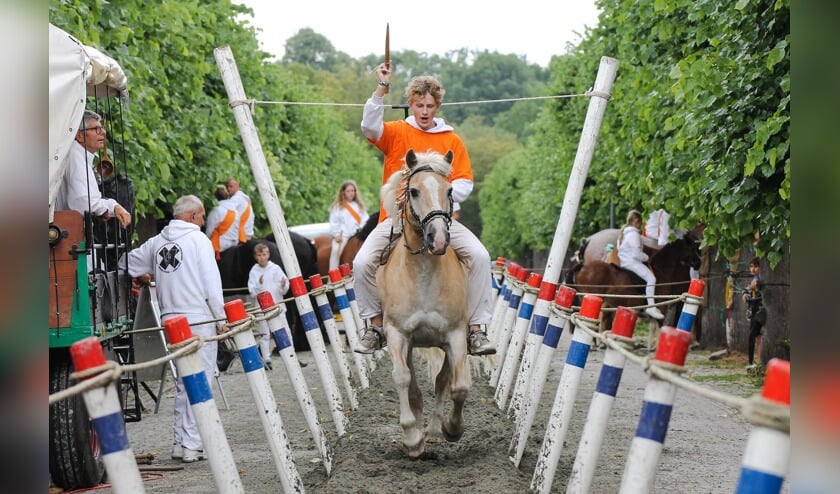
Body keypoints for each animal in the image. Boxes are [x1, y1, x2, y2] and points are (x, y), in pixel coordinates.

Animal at [376, 150, 470, 460]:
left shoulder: (455, 336)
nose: (437, 238)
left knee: (442, 382)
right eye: (414, 191)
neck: (424, 274)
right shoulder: (397, 334)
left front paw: (452, 429)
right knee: (414, 384)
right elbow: (402, 378)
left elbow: (458, 387)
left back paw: (434, 430)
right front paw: (411, 437)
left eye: (449, 190)